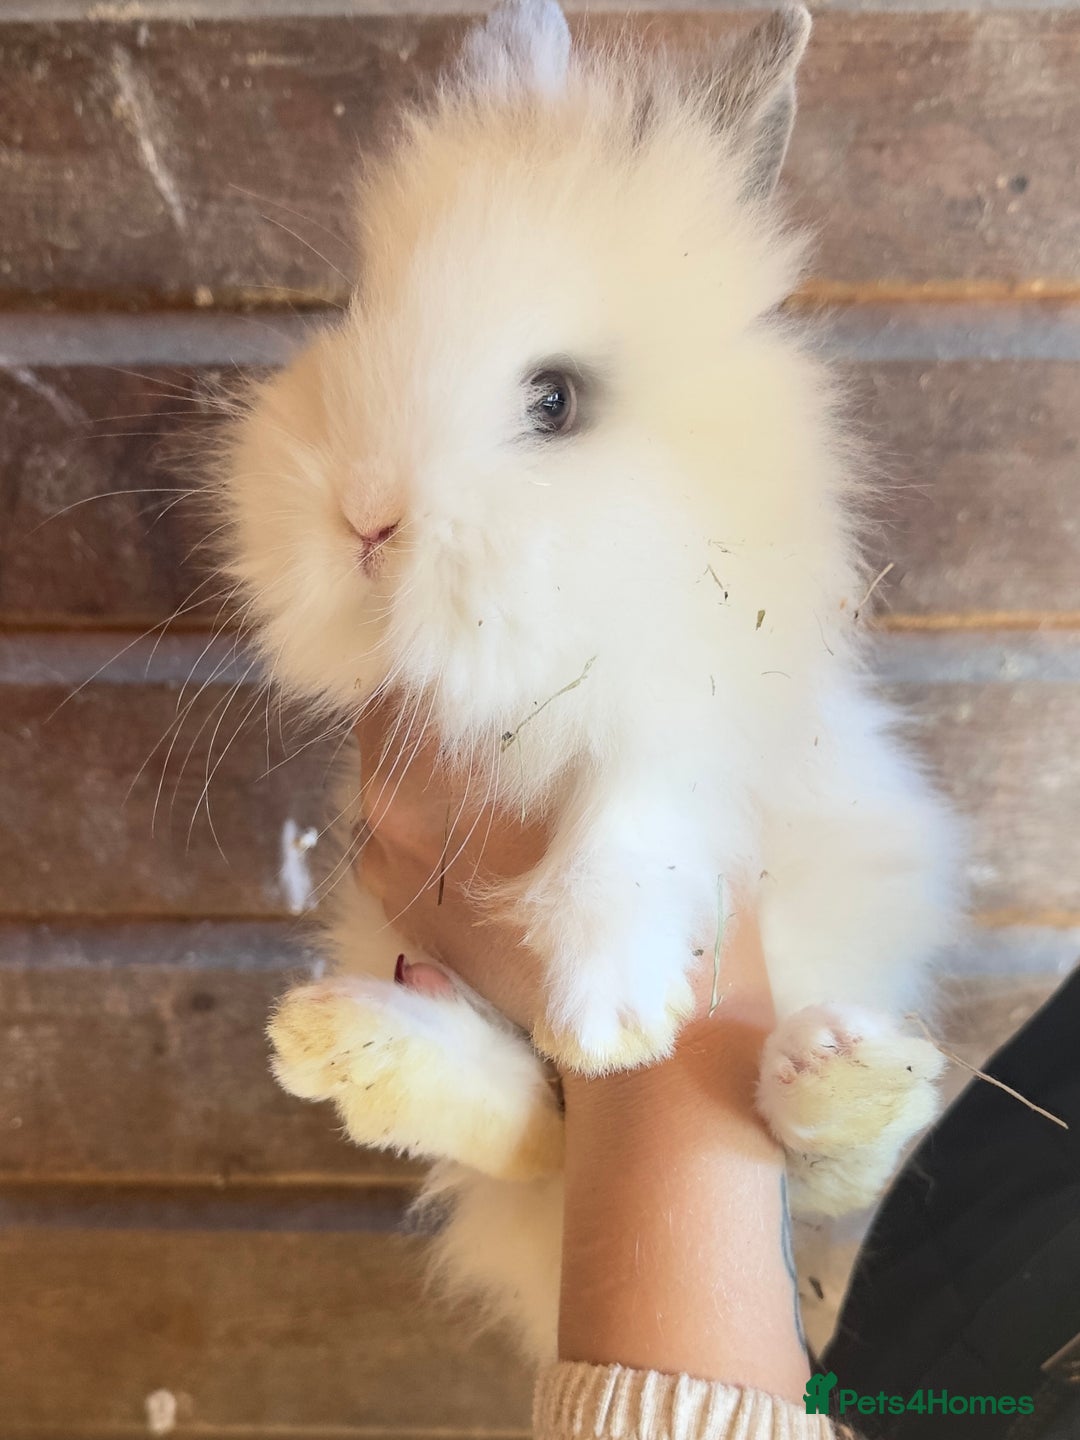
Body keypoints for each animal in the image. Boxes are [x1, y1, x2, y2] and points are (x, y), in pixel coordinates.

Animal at [215, 0, 963, 1362]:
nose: (363, 519)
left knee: (808, 1165)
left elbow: (632, 823)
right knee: (531, 1130)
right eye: (355, 316)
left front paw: (612, 1014)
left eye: (555, 400)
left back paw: (841, 1078)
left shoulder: (697, 718)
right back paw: (355, 1047)